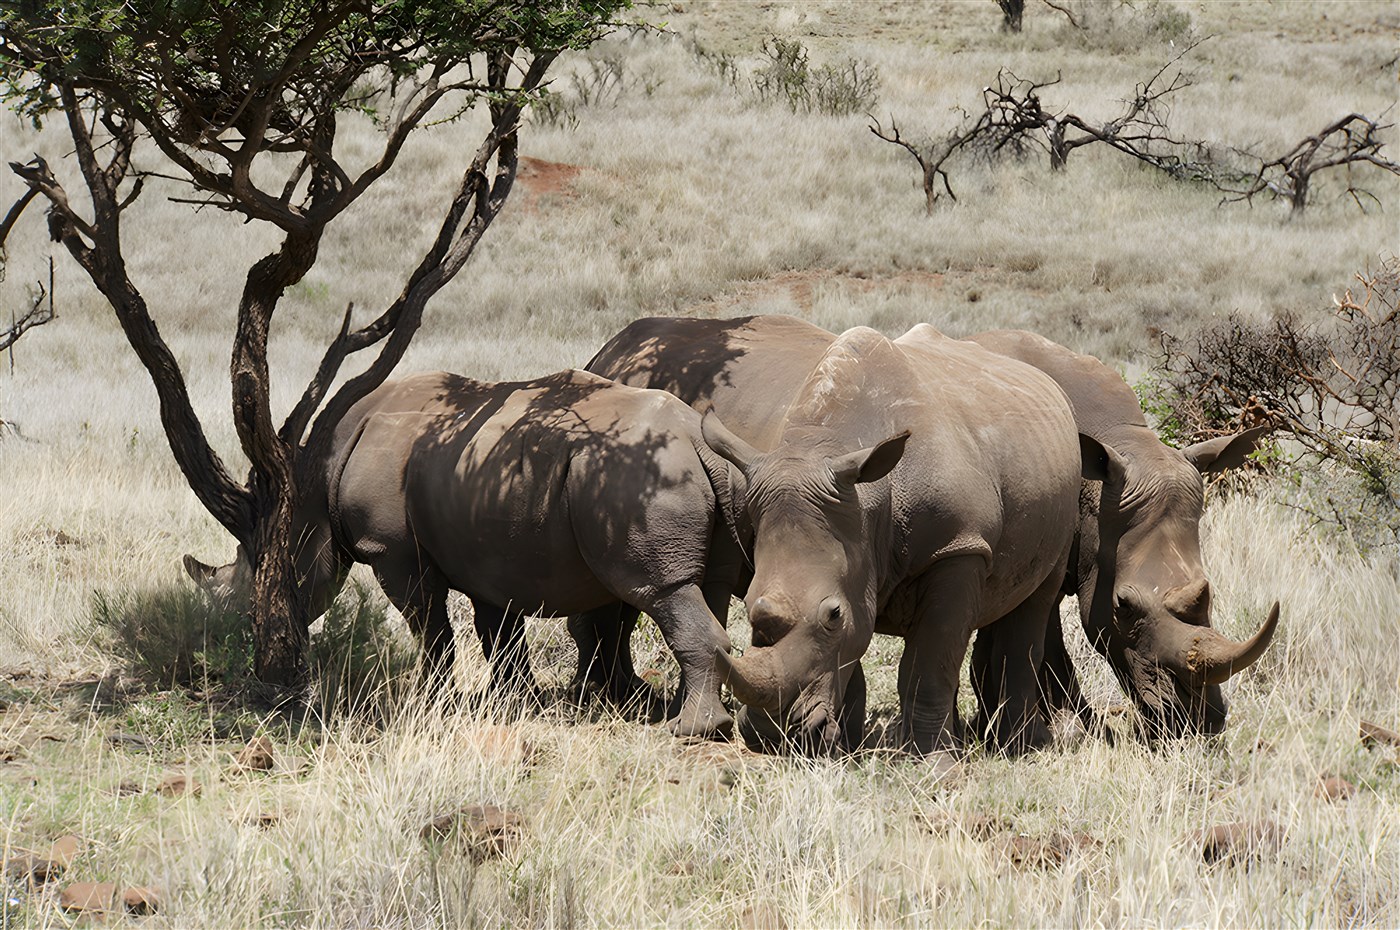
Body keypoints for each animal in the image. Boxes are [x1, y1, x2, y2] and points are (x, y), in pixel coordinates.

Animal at [184, 369, 744, 739]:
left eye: (251, 579)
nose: (240, 633)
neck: (310, 483)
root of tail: (694, 434)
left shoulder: (393, 551)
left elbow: (431, 627)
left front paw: (430, 701)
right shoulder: (485, 551)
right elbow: (498, 633)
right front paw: (514, 702)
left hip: (635, 476)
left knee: (660, 590)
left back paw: (689, 730)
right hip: (684, 474)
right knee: (706, 586)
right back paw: (683, 712)